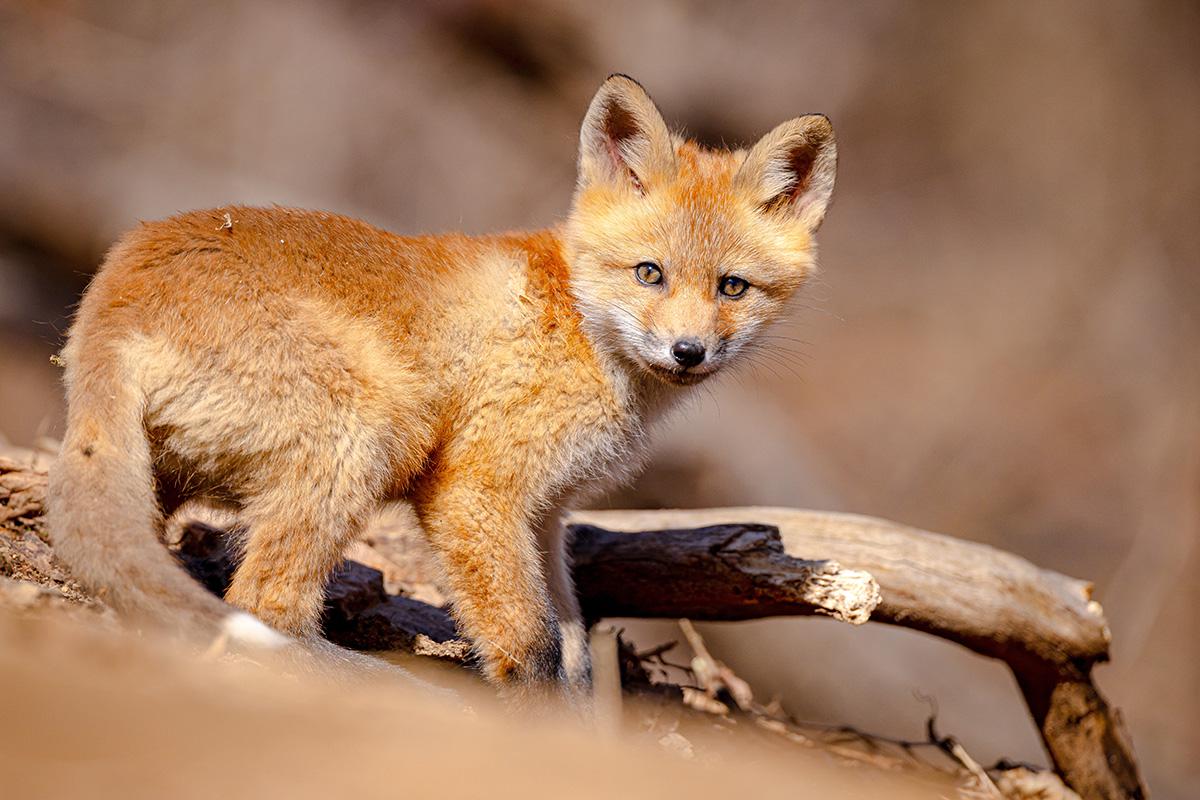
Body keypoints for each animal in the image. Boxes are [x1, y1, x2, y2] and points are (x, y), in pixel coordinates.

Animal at [47, 75, 836, 695]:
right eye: (650, 274)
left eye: (732, 287)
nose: (688, 351)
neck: (579, 324)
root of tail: (111, 296)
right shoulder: (471, 487)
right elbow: (532, 647)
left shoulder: (545, 514)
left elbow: (575, 649)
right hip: (371, 432)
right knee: (268, 608)